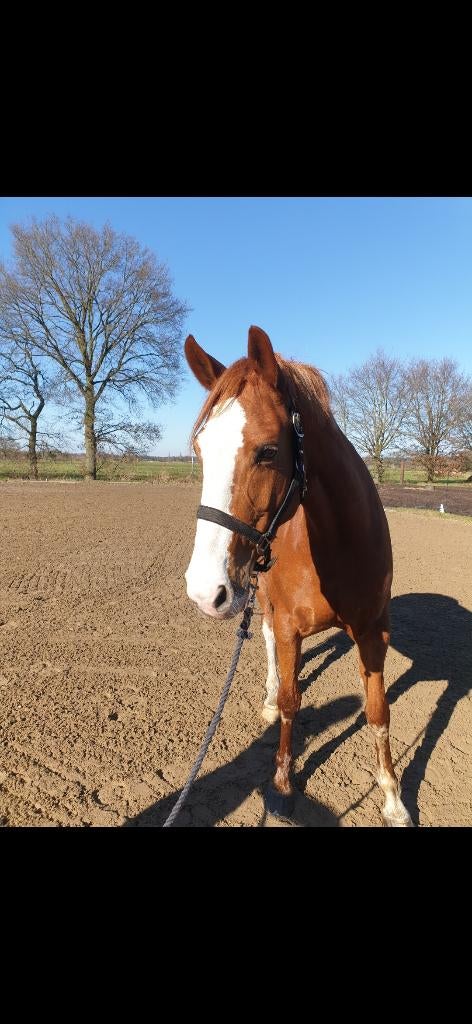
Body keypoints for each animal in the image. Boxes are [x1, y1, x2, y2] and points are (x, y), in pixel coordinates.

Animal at [184, 325, 412, 826]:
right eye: (200, 451)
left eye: (268, 451)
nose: (204, 591)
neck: (337, 542)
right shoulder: (290, 626)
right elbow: (292, 700)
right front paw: (283, 784)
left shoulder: (374, 631)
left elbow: (378, 711)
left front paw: (392, 796)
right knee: (268, 640)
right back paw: (269, 697)